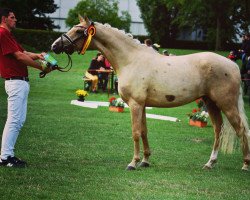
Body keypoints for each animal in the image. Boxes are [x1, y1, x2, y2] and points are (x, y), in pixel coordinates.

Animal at [50, 16, 250, 171]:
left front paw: (133, 163)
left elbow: (136, 132)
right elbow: (144, 131)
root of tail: (233, 65)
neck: (131, 60)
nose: (54, 46)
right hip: (211, 103)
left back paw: (245, 164)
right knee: (218, 130)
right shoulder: (143, 105)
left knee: (241, 129)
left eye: (78, 31)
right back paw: (210, 163)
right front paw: (145, 161)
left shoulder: (135, 104)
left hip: (226, 104)